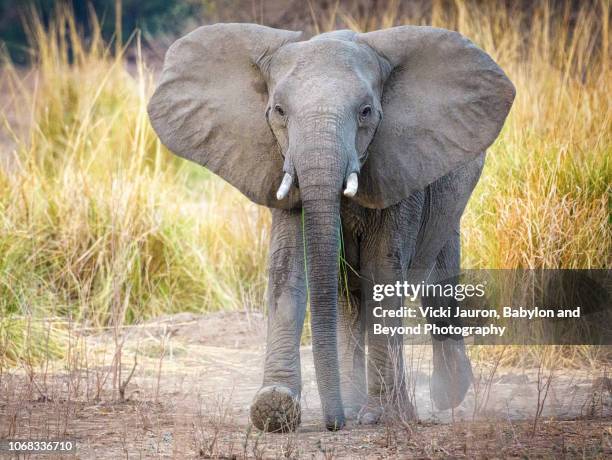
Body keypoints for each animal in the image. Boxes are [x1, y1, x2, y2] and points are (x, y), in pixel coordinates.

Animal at [148, 22, 516, 432]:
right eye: (278, 111)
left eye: (366, 112)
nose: (332, 423)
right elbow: (287, 270)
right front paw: (274, 409)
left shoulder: (399, 169)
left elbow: (383, 270)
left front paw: (385, 417)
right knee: (348, 297)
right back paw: (354, 404)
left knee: (435, 283)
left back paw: (444, 395)